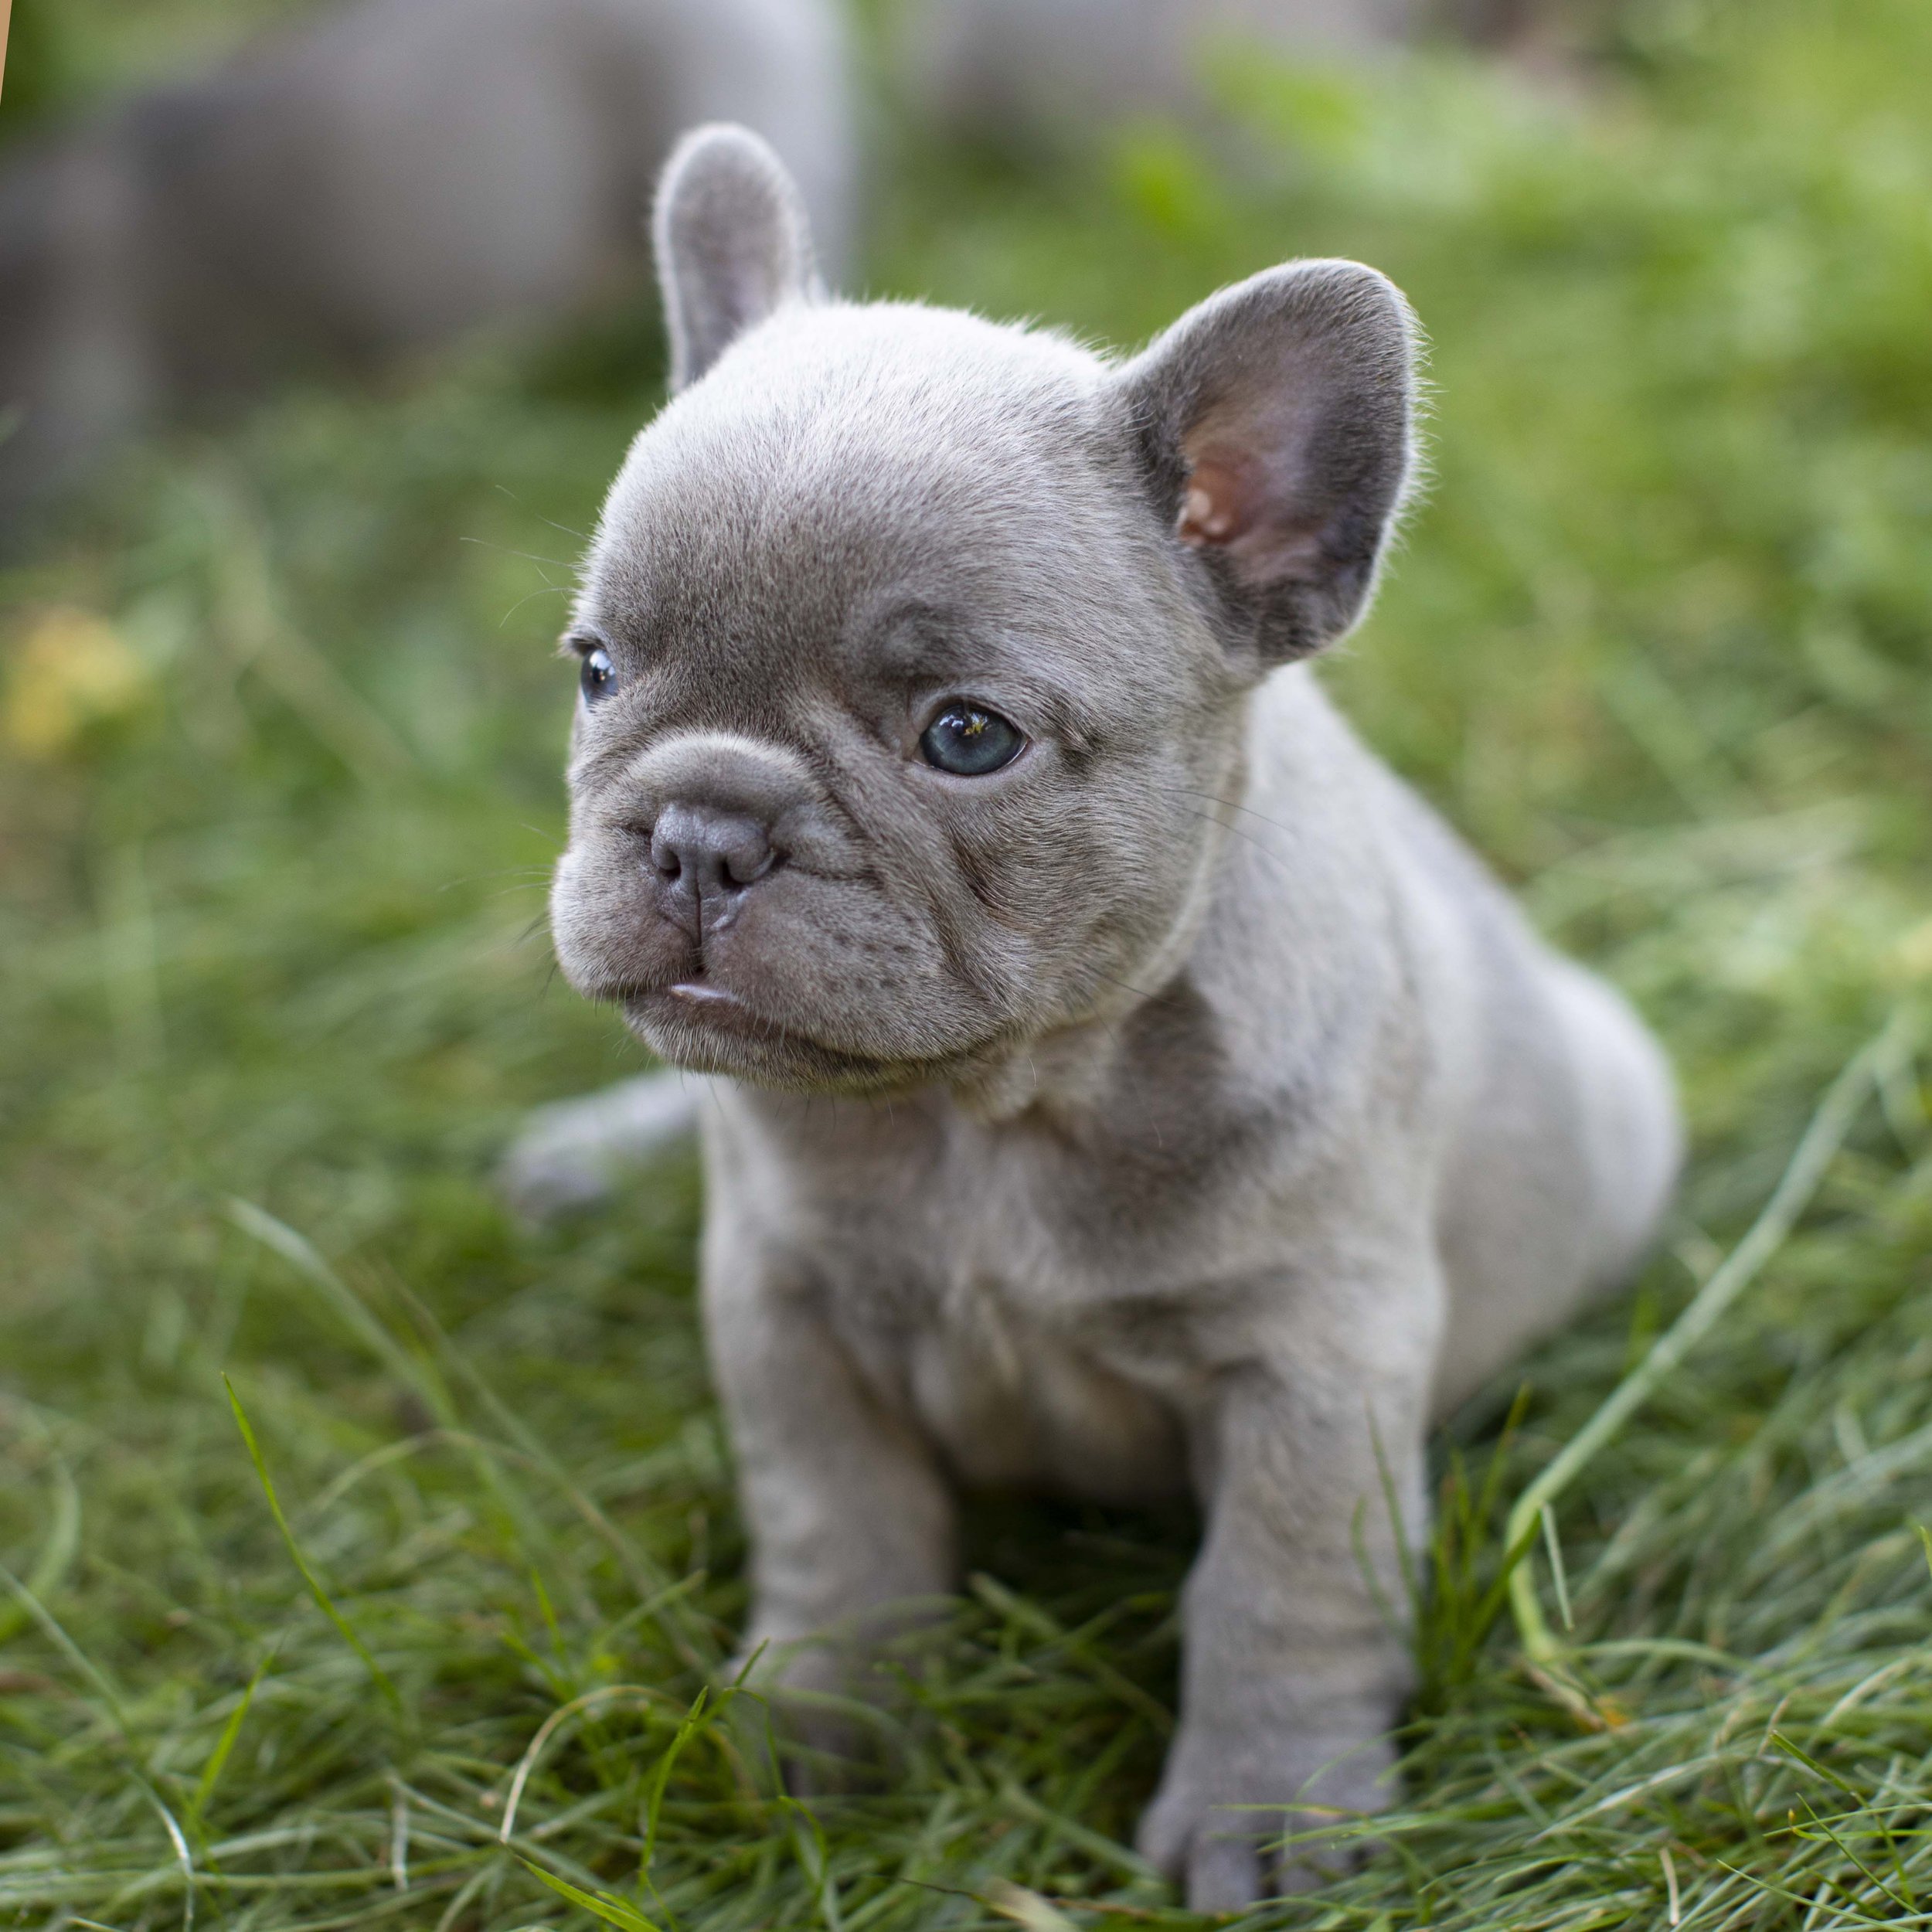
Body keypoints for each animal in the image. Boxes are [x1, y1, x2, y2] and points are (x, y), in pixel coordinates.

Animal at [541, 128, 1677, 1909]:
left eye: (966, 736)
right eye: (596, 670)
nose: (704, 828)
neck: (993, 1108)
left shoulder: (1310, 1366)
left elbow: (1279, 1594)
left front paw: (1272, 1815)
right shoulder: (784, 1313)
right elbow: (838, 1530)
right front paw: (820, 1735)